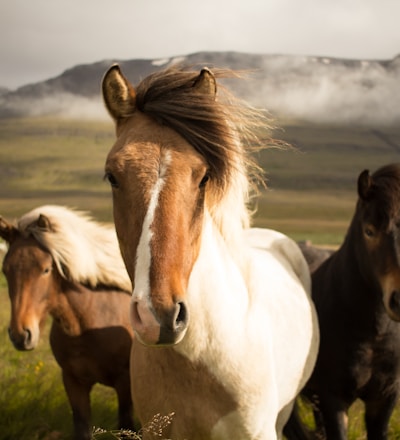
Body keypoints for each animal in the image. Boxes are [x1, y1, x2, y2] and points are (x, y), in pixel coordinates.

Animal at [0, 205, 134, 440]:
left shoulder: (125, 383)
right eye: (5, 270)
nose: (20, 335)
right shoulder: (73, 383)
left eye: (46, 269)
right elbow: (81, 428)